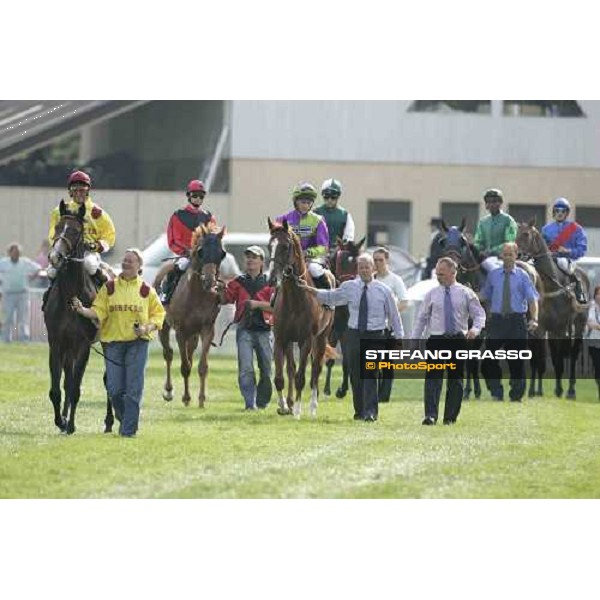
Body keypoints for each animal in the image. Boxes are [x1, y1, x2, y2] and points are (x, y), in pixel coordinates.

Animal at [44, 203, 113, 436]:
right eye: (57, 227)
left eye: (75, 231)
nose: (55, 257)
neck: (70, 297)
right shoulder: (57, 342)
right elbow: (58, 388)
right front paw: (61, 421)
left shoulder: (83, 344)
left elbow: (75, 388)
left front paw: (71, 424)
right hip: (68, 347)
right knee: (68, 378)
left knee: (109, 379)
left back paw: (109, 421)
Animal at [158, 224, 226, 408]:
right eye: (200, 252)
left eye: (222, 253)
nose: (210, 281)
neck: (197, 295)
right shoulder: (180, 331)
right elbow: (185, 366)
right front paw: (187, 397)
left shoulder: (207, 330)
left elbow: (202, 366)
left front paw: (201, 399)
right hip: (164, 327)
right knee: (168, 353)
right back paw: (168, 391)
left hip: (193, 334)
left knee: (189, 353)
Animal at [266, 218, 336, 420]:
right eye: (269, 246)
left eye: (285, 246)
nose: (271, 279)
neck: (294, 299)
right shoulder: (281, 339)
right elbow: (279, 377)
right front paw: (283, 406)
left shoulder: (306, 340)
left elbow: (301, 377)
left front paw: (297, 411)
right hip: (292, 341)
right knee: (291, 367)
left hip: (322, 337)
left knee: (316, 369)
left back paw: (312, 407)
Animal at [324, 236, 366, 398]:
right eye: (341, 262)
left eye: (358, 264)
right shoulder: (331, 330)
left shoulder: (346, 330)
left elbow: (347, 359)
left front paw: (342, 389)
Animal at [512, 220, 588, 398]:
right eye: (516, 233)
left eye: (526, 234)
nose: (517, 254)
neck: (551, 286)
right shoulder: (540, 329)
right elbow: (538, 360)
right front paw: (534, 390)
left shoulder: (560, 329)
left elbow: (558, 359)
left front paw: (558, 389)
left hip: (579, 325)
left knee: (573, 354)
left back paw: (570, 390)